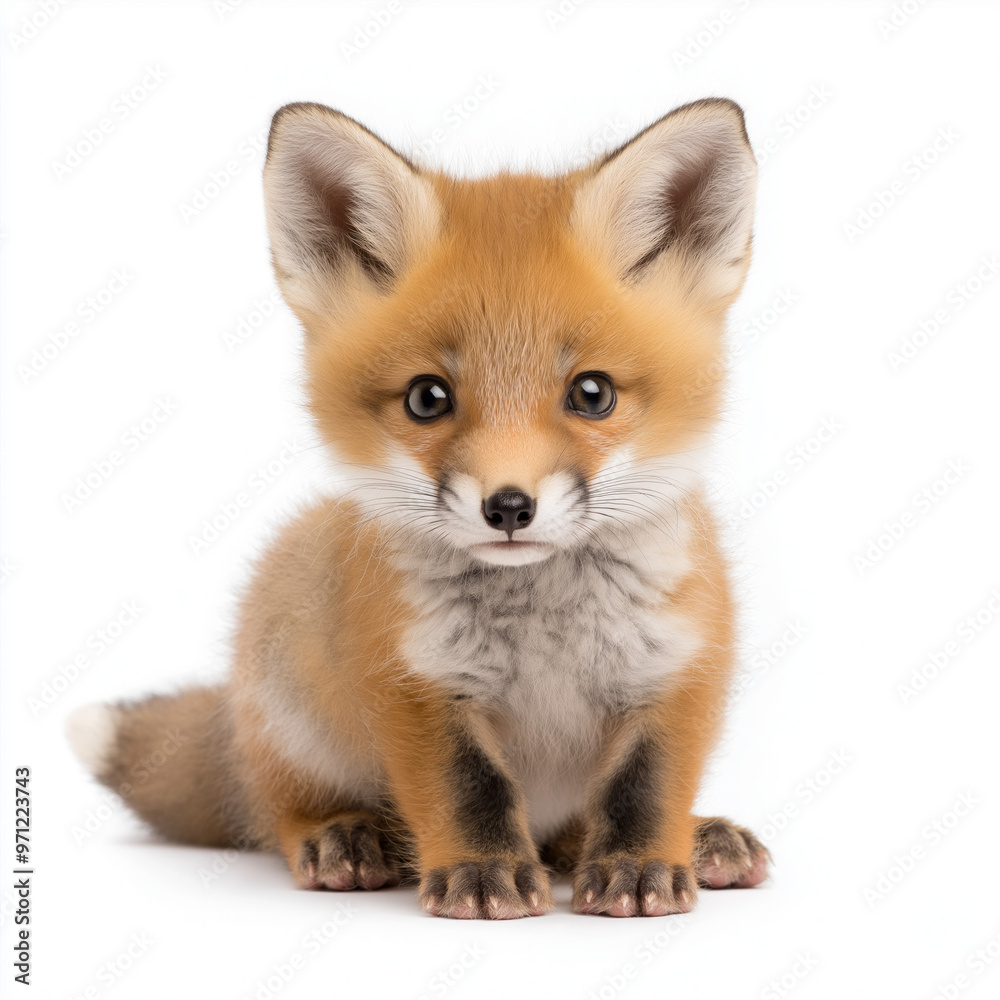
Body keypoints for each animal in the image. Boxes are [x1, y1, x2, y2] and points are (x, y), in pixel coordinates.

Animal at [67, 96, 771, 919]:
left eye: (592, 394)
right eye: (427, 398)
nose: (509, 507)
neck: (546, 635)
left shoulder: (679, 668)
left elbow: (644, 790)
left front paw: (638, 866)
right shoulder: (415, 685)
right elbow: (468, 792)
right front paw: (481, 873)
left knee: (571, 833)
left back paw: (697, 838)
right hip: (288, 695)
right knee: (277, 810)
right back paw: (345, 836)